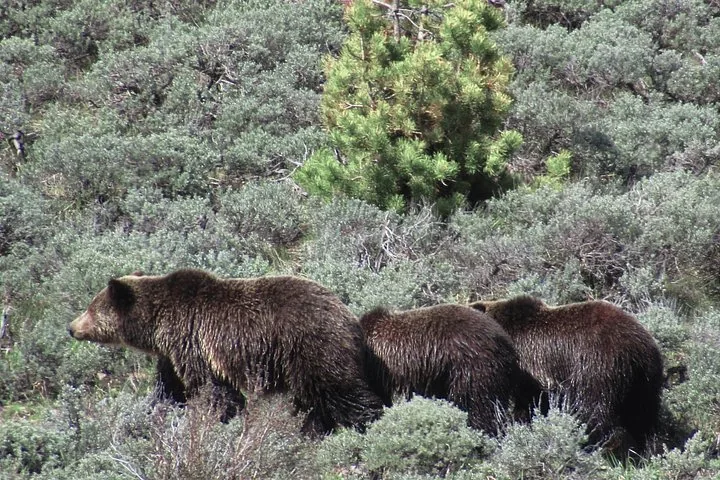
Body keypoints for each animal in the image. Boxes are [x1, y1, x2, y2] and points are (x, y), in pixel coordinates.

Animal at [68, 268, 384, 435]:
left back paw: (367, 422)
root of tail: (351, 318)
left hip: (310, 346)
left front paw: (219, 418)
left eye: (91, 309)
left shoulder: (194, 341)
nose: (71, 328)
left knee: (340, 391)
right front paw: (155, 411)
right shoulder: (173, 354)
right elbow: (170, 388)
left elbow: (211, 389)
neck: (158, 325)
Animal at [469, 295, 664, 452]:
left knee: (595, 408)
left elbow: (528, 402)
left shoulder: (530, 365)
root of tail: (638, 348)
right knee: (644, 418)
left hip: (599, 364)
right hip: (646, 379)